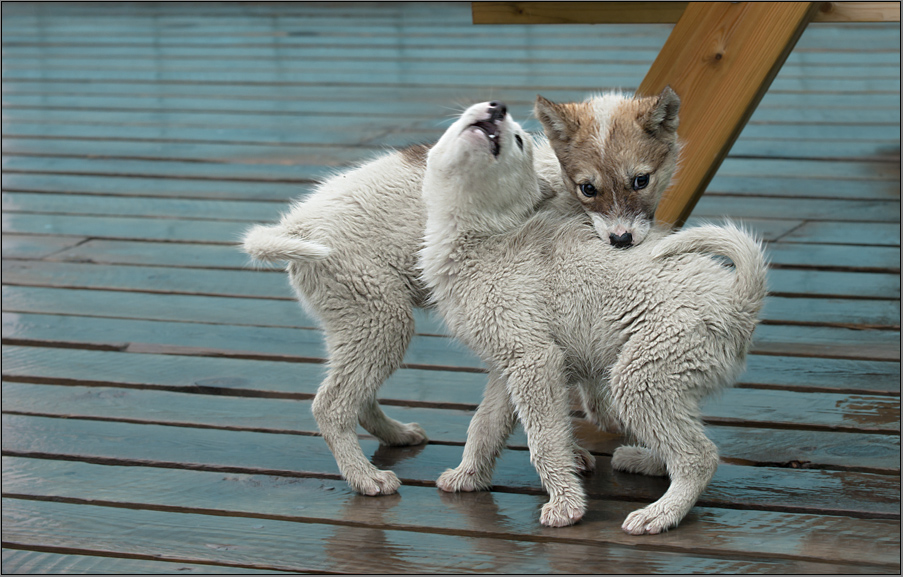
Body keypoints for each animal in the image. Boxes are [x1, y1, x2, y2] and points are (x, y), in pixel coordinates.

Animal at [420, 101, 768, 532]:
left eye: (518, 140)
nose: (496, 108)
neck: (482, 240)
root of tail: (740, 300)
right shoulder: (506, 367)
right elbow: (483, 427)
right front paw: (468, 476)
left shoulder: (535, 362)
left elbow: (545, 441)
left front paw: (566, 504)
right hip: (664, 384)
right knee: (683, 438)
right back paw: (646, 461)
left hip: (638, 378)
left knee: (699, 457)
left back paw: (660, 514)